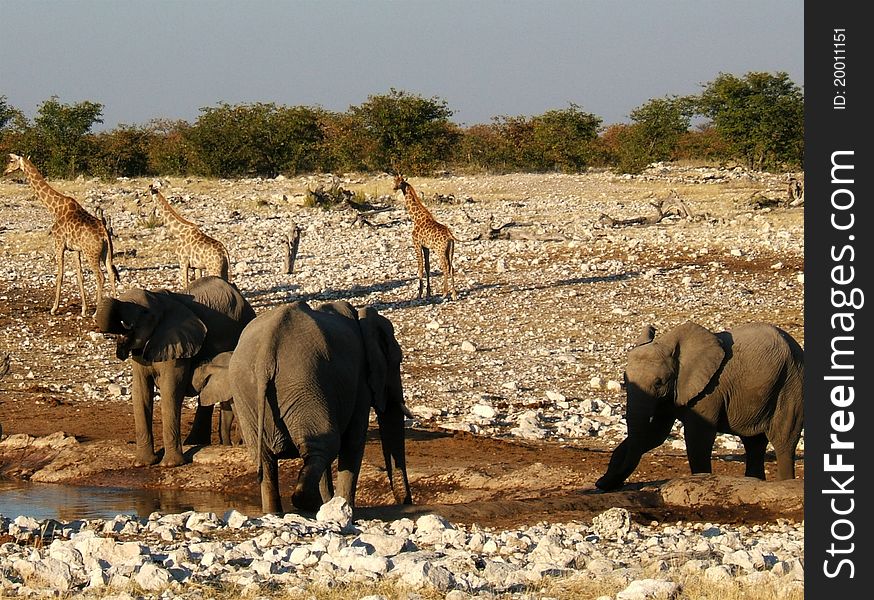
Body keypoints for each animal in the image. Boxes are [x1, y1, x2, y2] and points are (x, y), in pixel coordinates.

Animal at [2, 152, 116, 316]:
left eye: (11, 161)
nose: (5, 172)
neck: (55, 208)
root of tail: (104, 234)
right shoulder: (75, 249)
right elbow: (80, 276)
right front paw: (83, 309)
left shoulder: (59, 243)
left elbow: (60, 275)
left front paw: (54, 308)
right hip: (106, 252)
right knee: (111, 273)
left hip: (91, 253)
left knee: (100, 277)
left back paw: (96, 313)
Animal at [95, 276, 254, 468]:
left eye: (145, 313)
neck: (160, 300)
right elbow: (140, 391)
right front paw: (143, 463)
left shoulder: (178, 343)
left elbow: (171, 389)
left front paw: (170, 464)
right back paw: (194, 443)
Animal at [218, 302, 408, 512]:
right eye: (398, 360)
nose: (404, 501)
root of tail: (264, 356)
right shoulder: (360, 384)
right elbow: (353, 441)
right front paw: (344, 506)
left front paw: (333, 504)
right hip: (303, 382)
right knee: (326, 444)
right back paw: (309, 504)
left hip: (248, 391)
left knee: (269, 460)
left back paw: (277, 510)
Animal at [596, 322, 800, 490]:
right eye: (624, 378)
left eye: (659, 382)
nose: (599, 482)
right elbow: (655, 434)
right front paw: (605, 482)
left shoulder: (709, 390)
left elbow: (698, 437)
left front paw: (701, 481)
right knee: (754, 443)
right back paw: (754, 482)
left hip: (790, 384)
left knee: (783, 441)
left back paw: (784, 483)